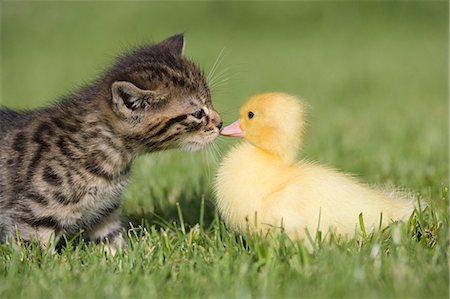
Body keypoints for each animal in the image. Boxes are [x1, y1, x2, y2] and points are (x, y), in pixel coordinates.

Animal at [0, 33, 221, 253]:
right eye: (198, 113)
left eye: (210, 101)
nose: (220, 123)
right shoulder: (32, 220)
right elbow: (35, 255)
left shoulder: (105, 213)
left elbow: (113, 246)